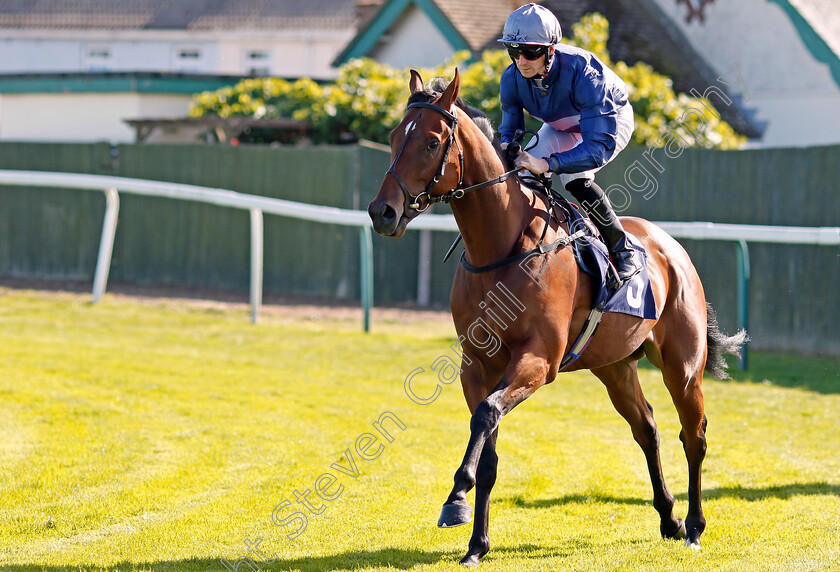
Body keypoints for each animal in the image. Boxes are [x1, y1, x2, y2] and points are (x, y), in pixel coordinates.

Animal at [368, 69, 748, 564]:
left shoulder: (538, 360)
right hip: (614, 366)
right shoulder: (477, 363)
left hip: (682, 366)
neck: (502, 247)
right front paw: (476, 543)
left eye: (432, 142)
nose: (382, 212)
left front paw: (456, 499)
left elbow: (487, 415)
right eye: (395, 137)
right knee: (646, 428)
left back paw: (696, 526)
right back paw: (670, 518)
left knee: (694, 435)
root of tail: (673, 248)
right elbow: (487, 444)